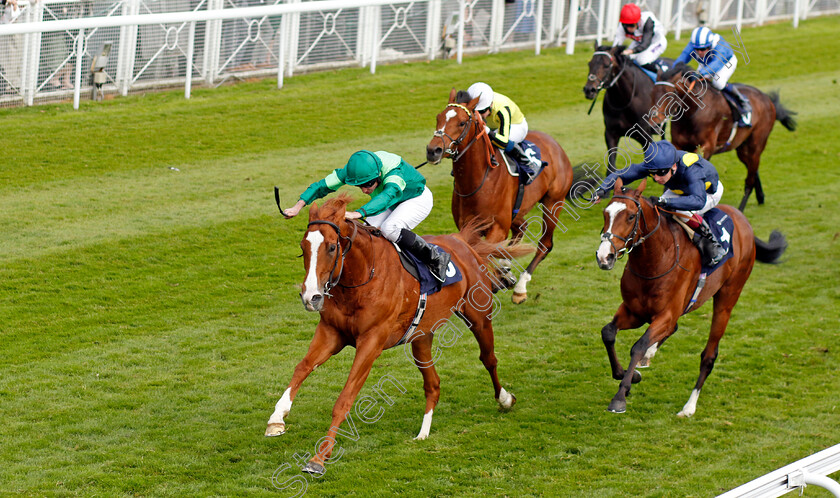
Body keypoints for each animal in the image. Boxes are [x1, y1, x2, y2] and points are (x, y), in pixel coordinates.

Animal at [268, 194, 532, 474]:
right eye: (303, 247)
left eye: (330, 247)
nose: (311, 297)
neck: (361, 278)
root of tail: (460, 240)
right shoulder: (331, 332)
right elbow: (302, 367)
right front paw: (277, 419)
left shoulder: (371, 342)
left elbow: (345, 398)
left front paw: (319, 458)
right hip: (422, 337)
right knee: (433, 384)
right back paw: (423, 433)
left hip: (479, 316)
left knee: (488, 358)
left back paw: (505, 399)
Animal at [424, 88, 576, 304]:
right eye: (438, 118)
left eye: (461, 122)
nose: (433, 150)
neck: (480, 180)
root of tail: (554, 144)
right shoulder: (469, 226)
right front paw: (499, 275)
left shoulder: (497, 227)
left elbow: (487, 253)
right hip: (517, 210)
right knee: (521, 227)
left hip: (554, 202)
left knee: (545, 244)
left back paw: (520, 288)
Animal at [584, 45, 668, 173]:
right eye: (590, 63)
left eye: (606, 65)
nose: (589, 90)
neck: (624, 100)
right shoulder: (611, 134)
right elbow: (611, 169)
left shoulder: (645, 135)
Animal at [592, 179, 784, 416]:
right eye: (605, 213)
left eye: (630, 216)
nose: (604, 257)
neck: (655, 260)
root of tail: (741, 218)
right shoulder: (634, 312)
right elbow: (608, 332)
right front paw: (630, 374)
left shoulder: (665, 315)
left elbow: (638, 345)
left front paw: (620, 396)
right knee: (672, 329)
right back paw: (650, 357)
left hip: (728, 297)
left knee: (709, 356)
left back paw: (689, 406)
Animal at [652, 62, 796, 210]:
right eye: (653, 92)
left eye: (671, 93)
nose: (655, 123)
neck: (692, 114)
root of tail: (767, 100)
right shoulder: (678, 144)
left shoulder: (706, 147)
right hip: (742, 149)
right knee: (753, 169)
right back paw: (760, 197)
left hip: (755, 145)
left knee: (749, 180)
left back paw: (741, 209)